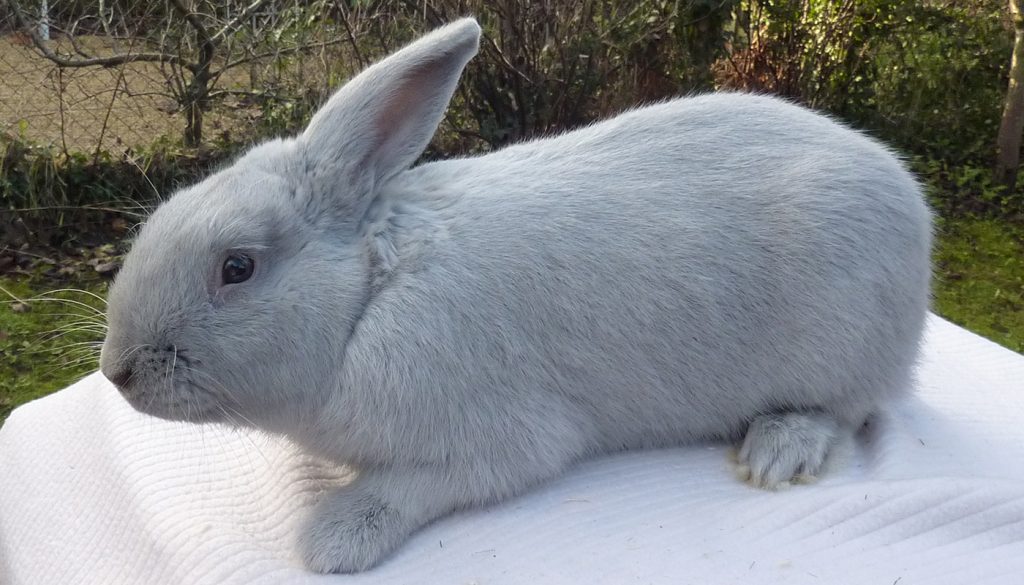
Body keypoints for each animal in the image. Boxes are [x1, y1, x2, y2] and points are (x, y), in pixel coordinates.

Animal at [99, 17, 933, 573]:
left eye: (237, 267)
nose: (116, 370)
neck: (367, 298)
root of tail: (911, 208)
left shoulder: (502, 442)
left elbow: (416, 484)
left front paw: (333, 538)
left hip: (843, 347)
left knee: (846, 408)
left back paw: (777, 450)